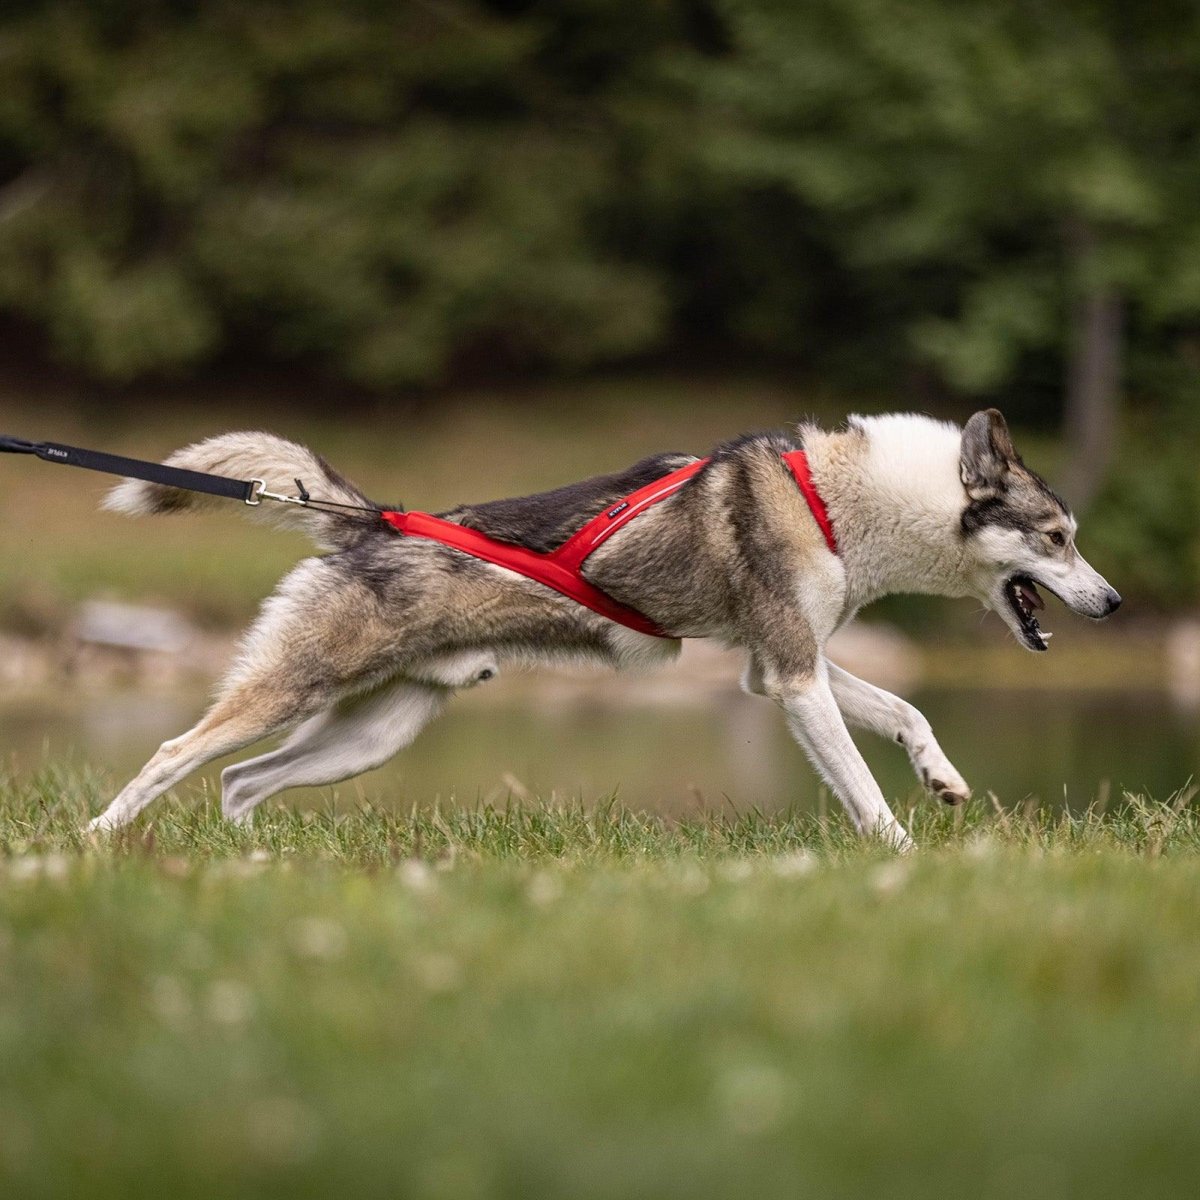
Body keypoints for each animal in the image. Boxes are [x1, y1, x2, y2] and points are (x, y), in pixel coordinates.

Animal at [87, 408, 1123, 849]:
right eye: (1058, 538)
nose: (1114, 603)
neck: (837, 499)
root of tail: (368, 520)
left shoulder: (776, 666)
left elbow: (909, 712)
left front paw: (942, 780)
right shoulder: (793, 676)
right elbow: (863, 791)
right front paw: (902, 861)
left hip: (370, 735)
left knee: (239, 783)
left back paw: (249, 863)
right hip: (293, 690)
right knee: (174, 754)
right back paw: (95, 846)